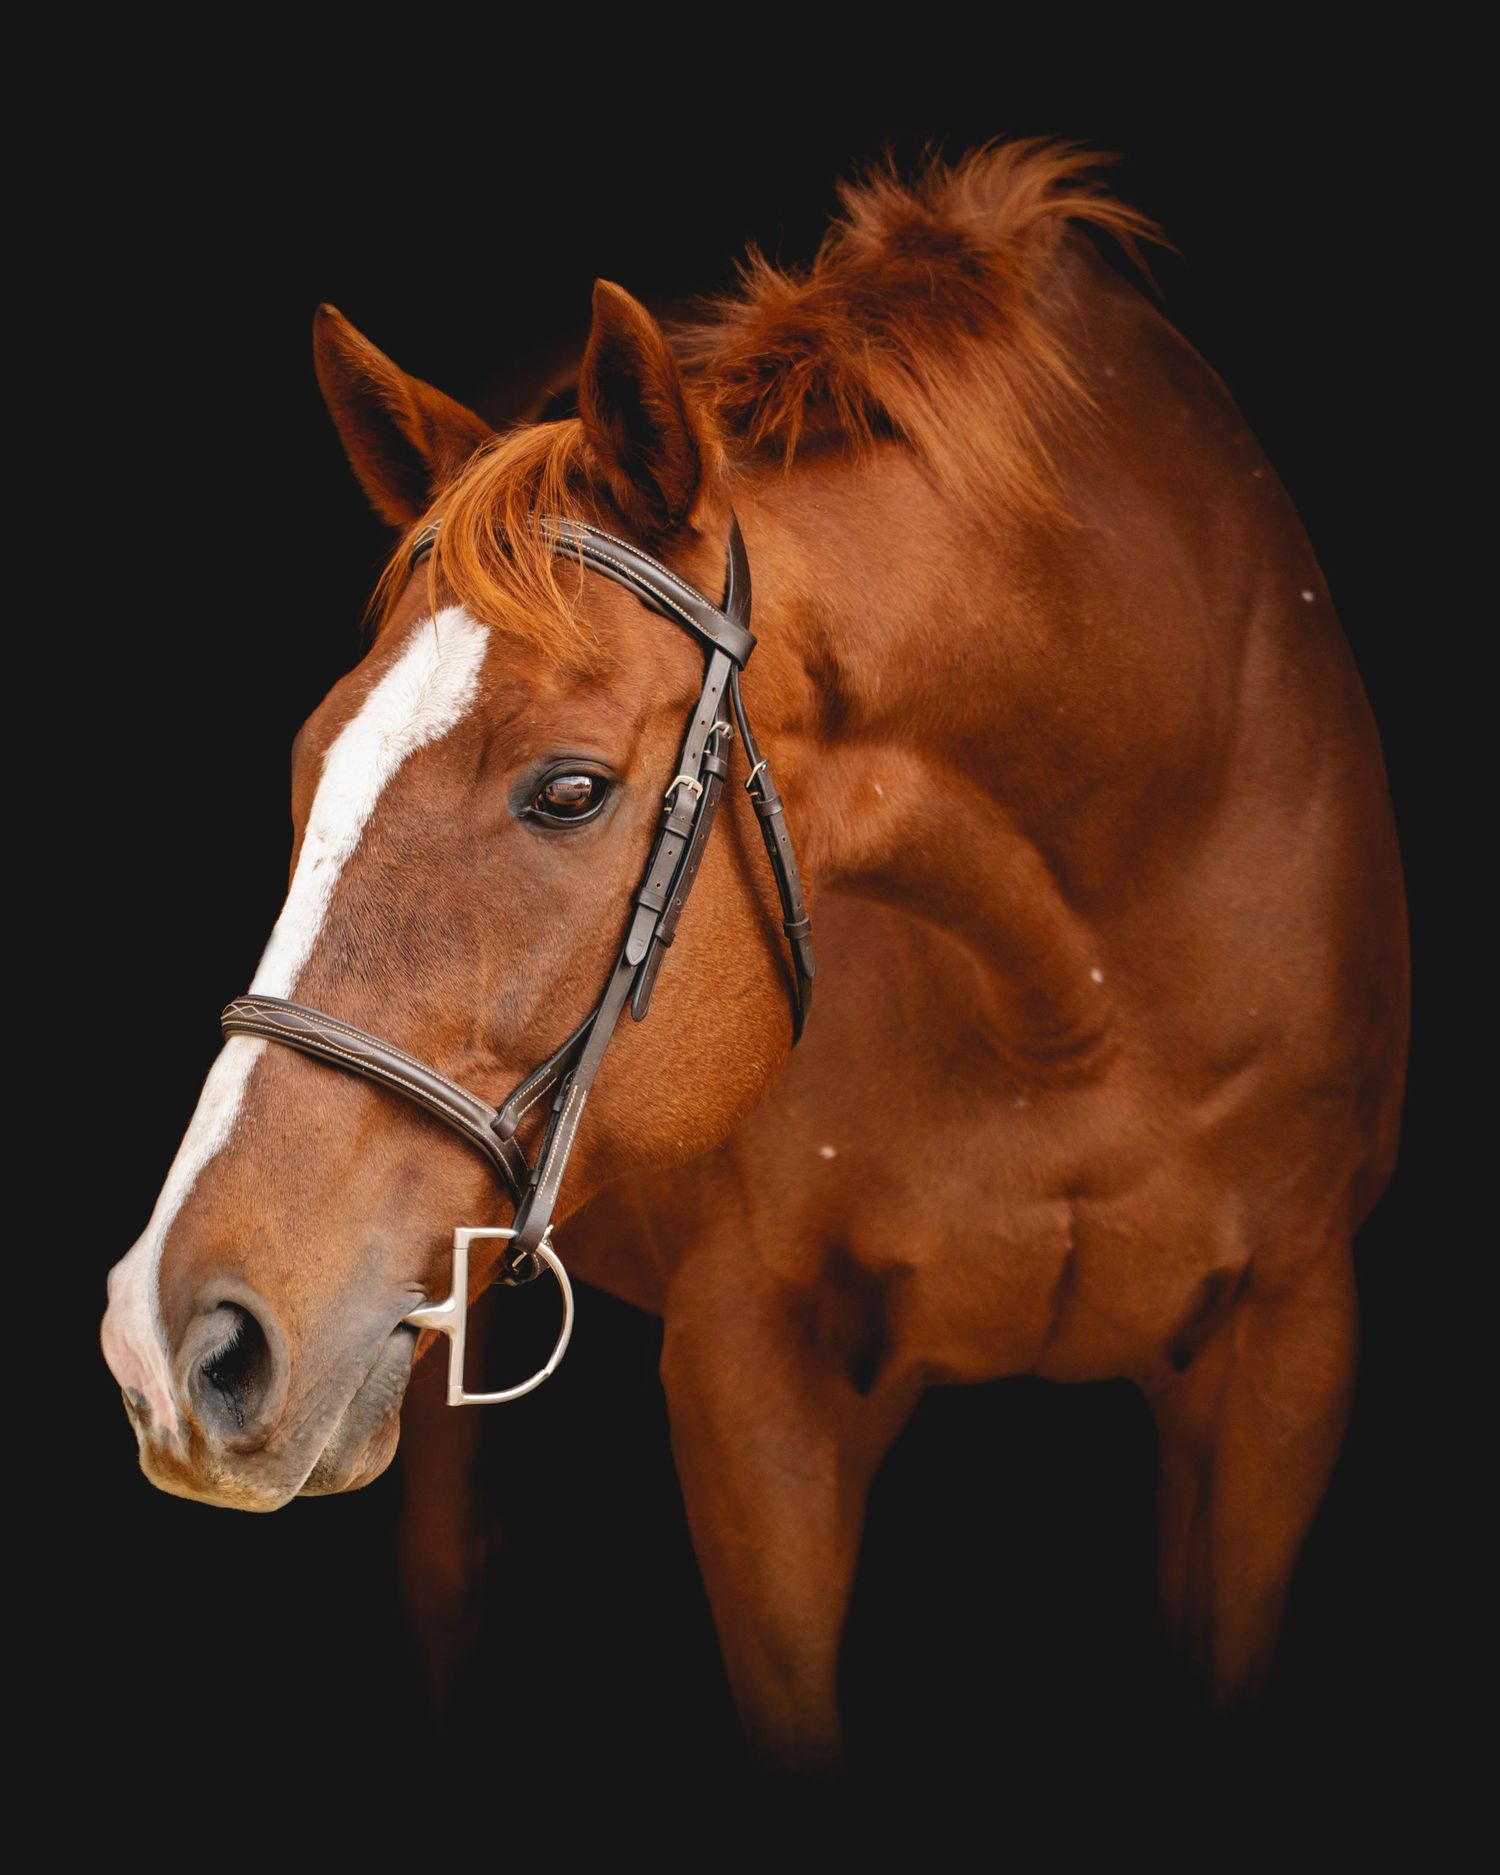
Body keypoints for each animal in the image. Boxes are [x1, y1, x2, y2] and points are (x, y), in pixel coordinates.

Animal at [100, 138, 1408, 1769]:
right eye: (306, 767)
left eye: (571, 789)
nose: (170, 1339)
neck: (1084, 995)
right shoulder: (749, 1380)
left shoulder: (1288, 1352)